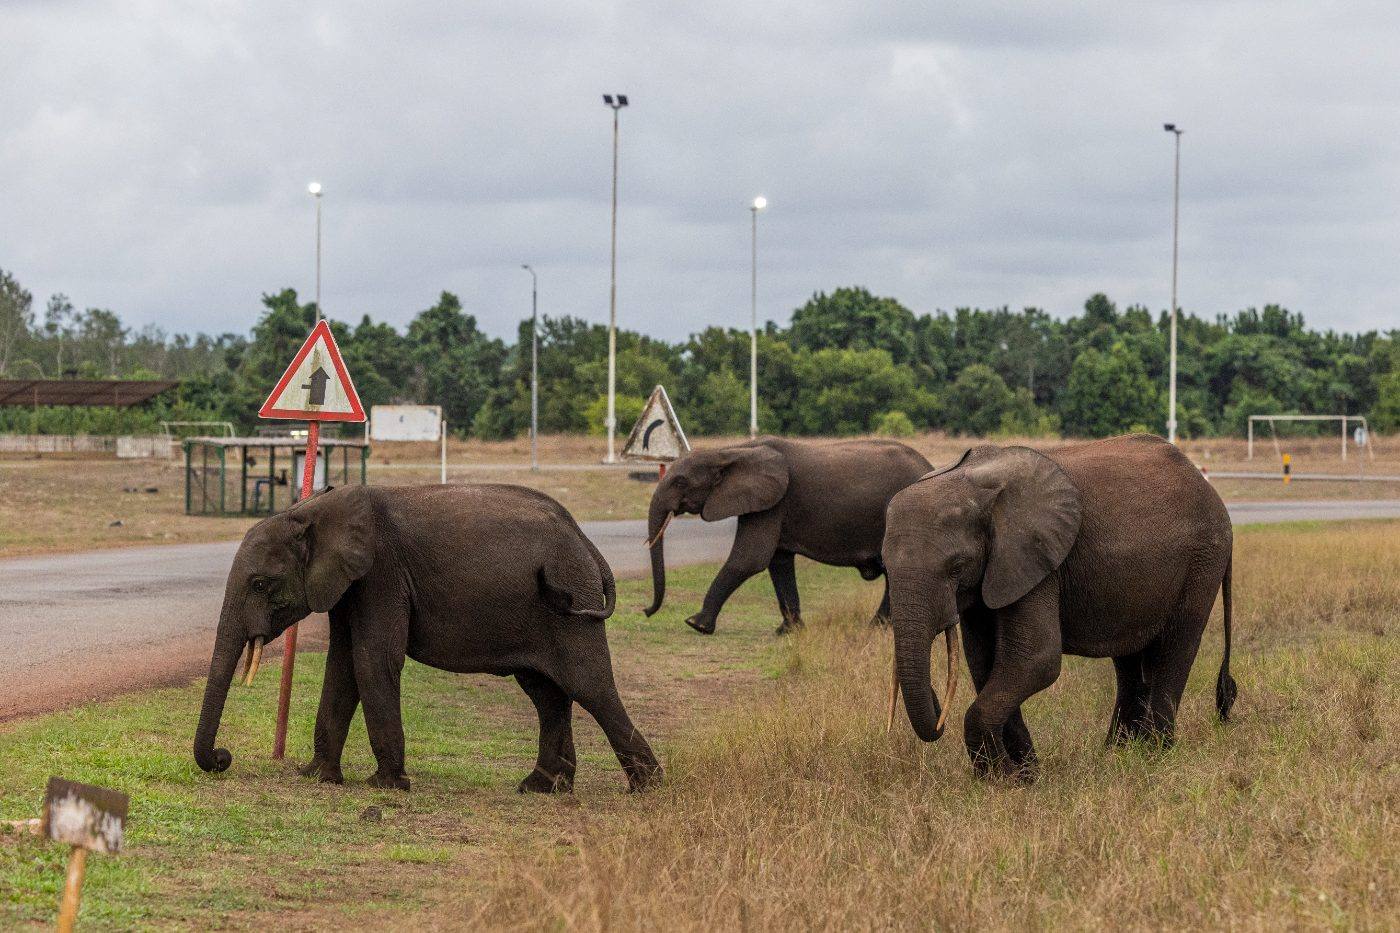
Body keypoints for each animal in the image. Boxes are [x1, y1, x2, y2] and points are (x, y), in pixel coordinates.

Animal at [193, 484, 661, 794]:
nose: (223, 758)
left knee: (590, 686)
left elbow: (372, 659)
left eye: (260, 584)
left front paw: (386, 786)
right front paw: (318, 777)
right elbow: (342, 664)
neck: (314, 511)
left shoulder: (381, 574)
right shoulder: (349, 583)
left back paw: (647, 788)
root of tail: (585, 540)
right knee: (547, 695)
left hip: (571, 599)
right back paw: (541, 788)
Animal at [644, 436, 932, 635]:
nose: (646, 611)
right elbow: (778, 562)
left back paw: (876, 628)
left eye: (680, 482)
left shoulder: (774, 503)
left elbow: (749, 559)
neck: (732, 450)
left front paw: (696, 624)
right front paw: (788, 631)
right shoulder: (769, 503)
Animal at [882, 434, 1235, 780]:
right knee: (1130, 660)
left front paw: (1003, 779)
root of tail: (1211, 491)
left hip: (1203, 560)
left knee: (1175, 648)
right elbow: (984, 663)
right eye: (885, 565)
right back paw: (1118, 756)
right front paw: (1024, 775)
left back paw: (1154, 755)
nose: (938, 714)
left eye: (956, 567)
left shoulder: (1037, 562)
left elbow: (1036, 660)